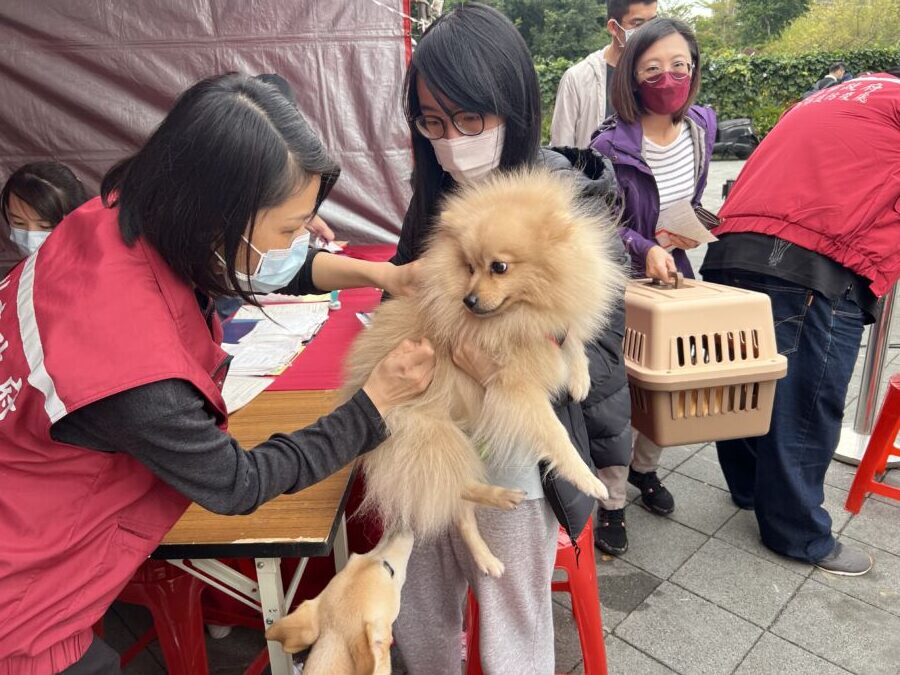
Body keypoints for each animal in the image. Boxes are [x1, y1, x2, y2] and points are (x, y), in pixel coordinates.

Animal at [342, 168, 624, 576]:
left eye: (498, 267)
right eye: (470, 267)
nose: (469, 300)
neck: (523, 312)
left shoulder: (549, 331)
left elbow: (573, 343)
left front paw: (579, 379)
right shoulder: (518, 390)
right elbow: (556, 436)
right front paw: (587, 479)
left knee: (459, 506)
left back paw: (493, 532)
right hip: (432, 436)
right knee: (451, 489)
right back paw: (495, 514)